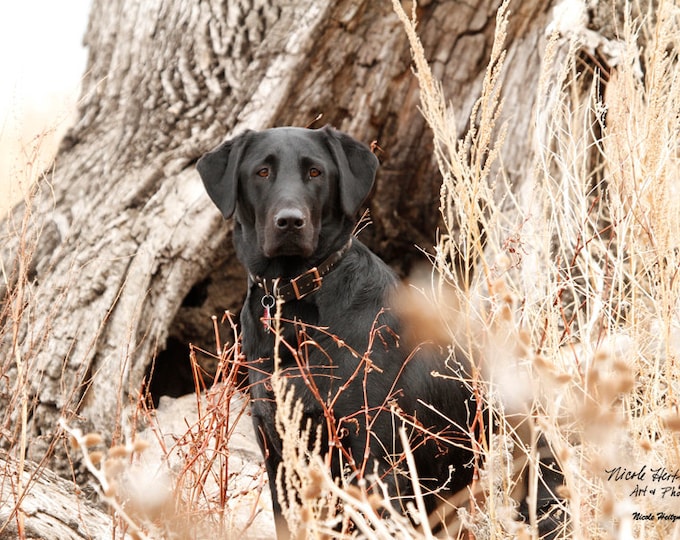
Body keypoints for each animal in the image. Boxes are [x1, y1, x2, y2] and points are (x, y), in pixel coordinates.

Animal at [197, 125, 564, 536]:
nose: (290, 221)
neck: (294, 299)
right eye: (261, 172)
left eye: (315, 172)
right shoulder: (278, 455)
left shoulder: (373, 456)